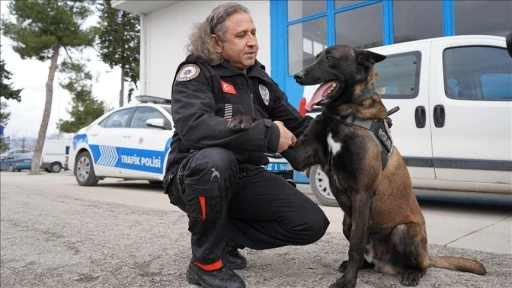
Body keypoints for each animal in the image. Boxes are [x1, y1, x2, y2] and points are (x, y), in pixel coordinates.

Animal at [230, 44, 486, 288]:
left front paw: (348, 282)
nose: (297, 76)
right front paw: (243, 118)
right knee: (366, 255)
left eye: (330, 58)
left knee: (420, 265)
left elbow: (355, 246)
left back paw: (411, 274)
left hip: (402, 231)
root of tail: (385, 263)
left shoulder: (362, 194)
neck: (343, 115)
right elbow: (270, 122)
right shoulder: (301, 155)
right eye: (316, 57)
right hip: (347, 221)